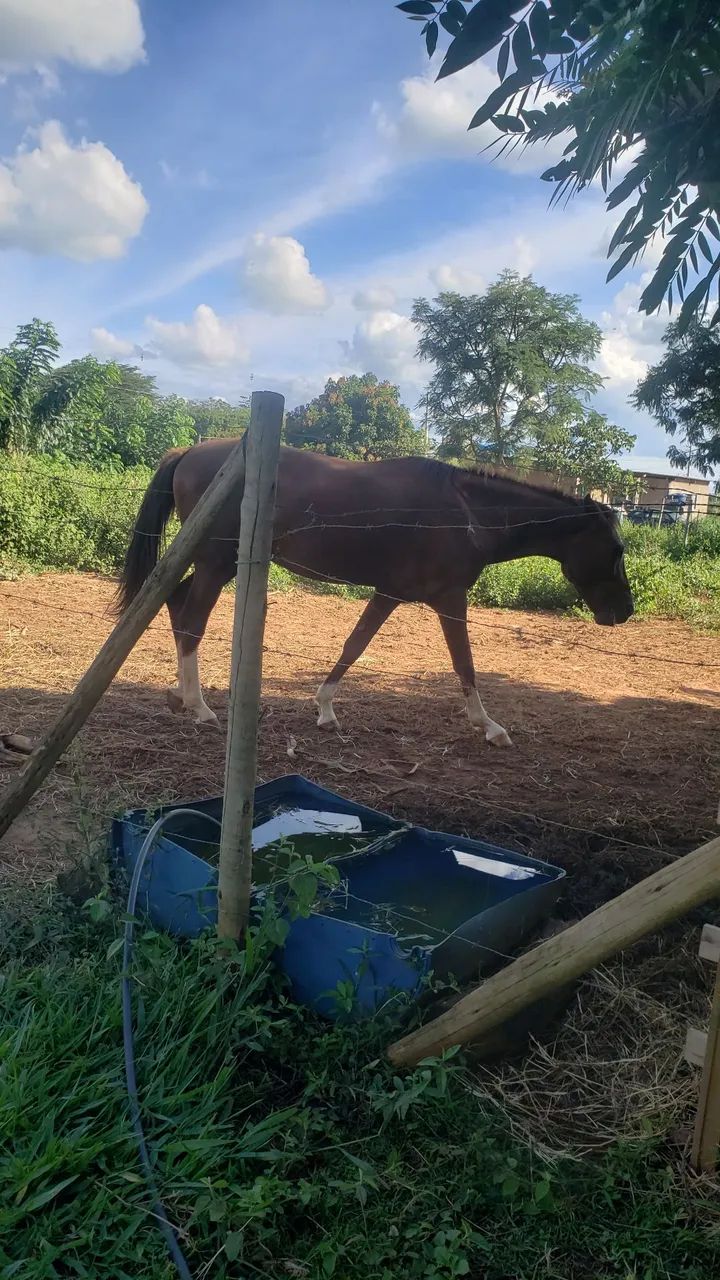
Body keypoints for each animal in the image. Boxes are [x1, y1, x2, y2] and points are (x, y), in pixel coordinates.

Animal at [116, 440, 633, 745]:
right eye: (615, 549)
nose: (623, 612)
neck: (467, 514)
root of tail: (189, 452)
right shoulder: (449, 598)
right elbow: (464, 663)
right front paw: (489, 725)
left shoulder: (389, 593)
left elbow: (355, 645)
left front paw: (325, 708)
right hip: (216, 564)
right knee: (191, 621)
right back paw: (200, 707)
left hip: (208, 564)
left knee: (176, 604)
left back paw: (179, 695)